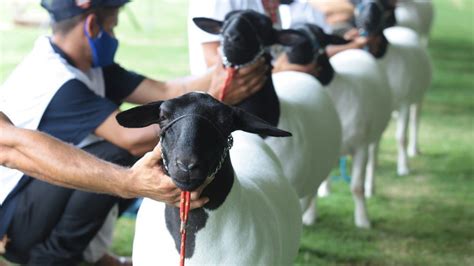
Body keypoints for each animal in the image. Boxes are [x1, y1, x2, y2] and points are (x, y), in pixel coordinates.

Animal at [282, 23, 392, 227]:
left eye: (317, 36)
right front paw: (310, 217)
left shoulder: (360, 147)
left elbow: (356, 187)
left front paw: (363, 220)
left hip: (374, 135)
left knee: (373, 158)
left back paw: (371, 187)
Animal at [358, 1, 432, 179]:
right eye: (359, 5)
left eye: (383, 7)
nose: (366, 22)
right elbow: (376, 141)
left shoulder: (405, 102)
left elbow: (401, 137)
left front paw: (403, 168)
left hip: (417, 97)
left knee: (415, 119)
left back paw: (414, 149)